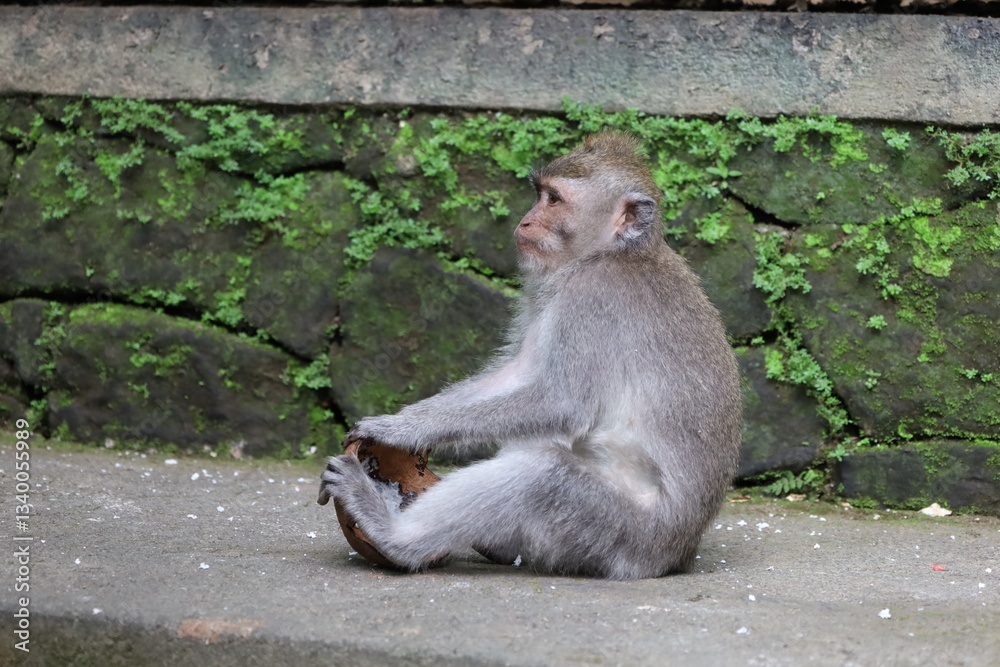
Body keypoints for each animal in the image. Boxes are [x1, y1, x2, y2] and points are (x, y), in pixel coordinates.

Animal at [318, 131, 742, 580]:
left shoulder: (592, 297)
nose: (524, 221)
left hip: (622, 535)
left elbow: (560, 402)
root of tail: (677, 554)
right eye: (539, 194)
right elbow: (516, 375)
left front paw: (400, 432)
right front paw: (407, 420)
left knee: (542, 476)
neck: (611, 253)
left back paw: (391, 534)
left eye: (553, 199)